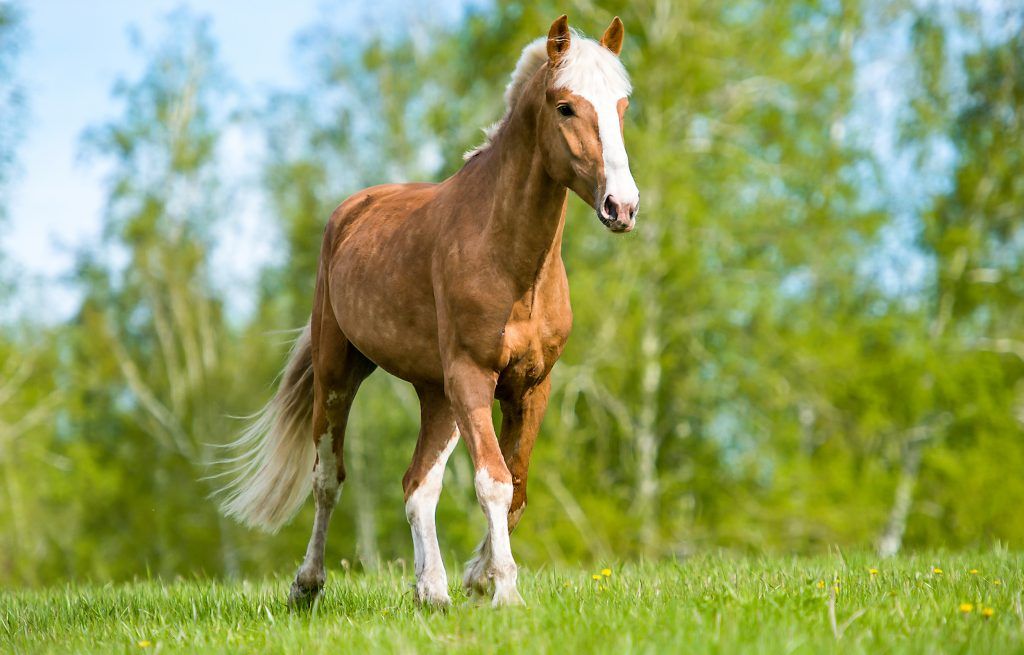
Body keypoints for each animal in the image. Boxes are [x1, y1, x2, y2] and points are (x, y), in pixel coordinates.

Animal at [219, 14, 638, 609]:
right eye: (565, 106)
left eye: (622, 106)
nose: (621, 207)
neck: (511, 262)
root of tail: (350, 212)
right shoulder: (471, 376)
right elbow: (493, 481)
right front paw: (505, 590)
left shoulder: (533, 385)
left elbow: (517, 484)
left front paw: (479, 578)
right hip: (341, 373)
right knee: (328, 478)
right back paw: (308, 584)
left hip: (435, 394)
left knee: (418, 484)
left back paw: (431, 590)